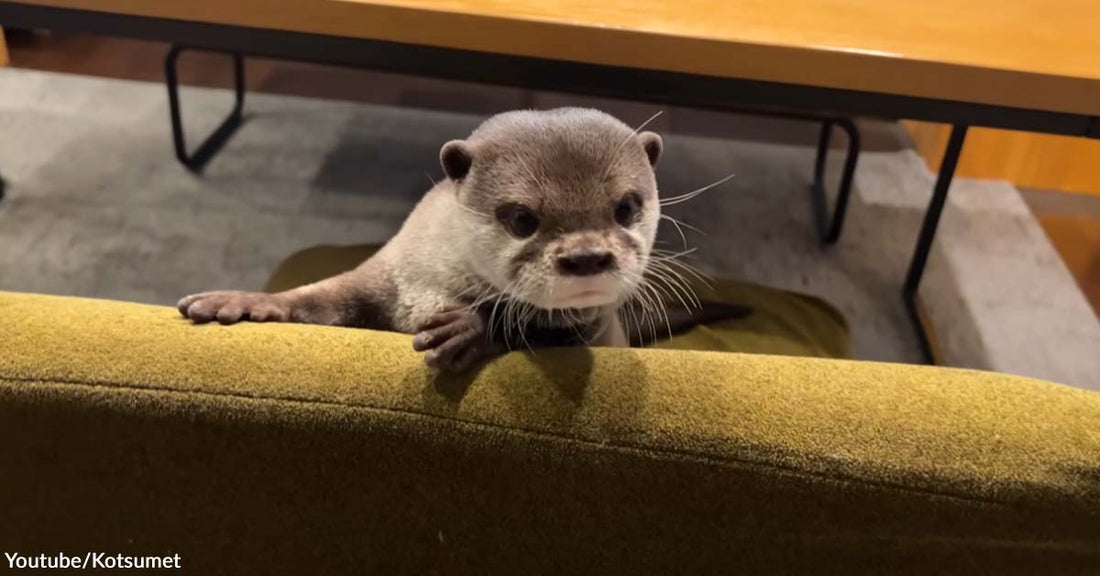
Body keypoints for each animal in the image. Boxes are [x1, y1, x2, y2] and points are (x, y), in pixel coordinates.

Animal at [178, 108, 744, 371]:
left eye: (627, 207)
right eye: (521, 218)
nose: (587, 256)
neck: (434, 282)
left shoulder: (587, 327)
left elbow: (535, 332)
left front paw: (468, 329)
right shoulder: (387, 269)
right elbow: (319, 296)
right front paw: (240, 302)